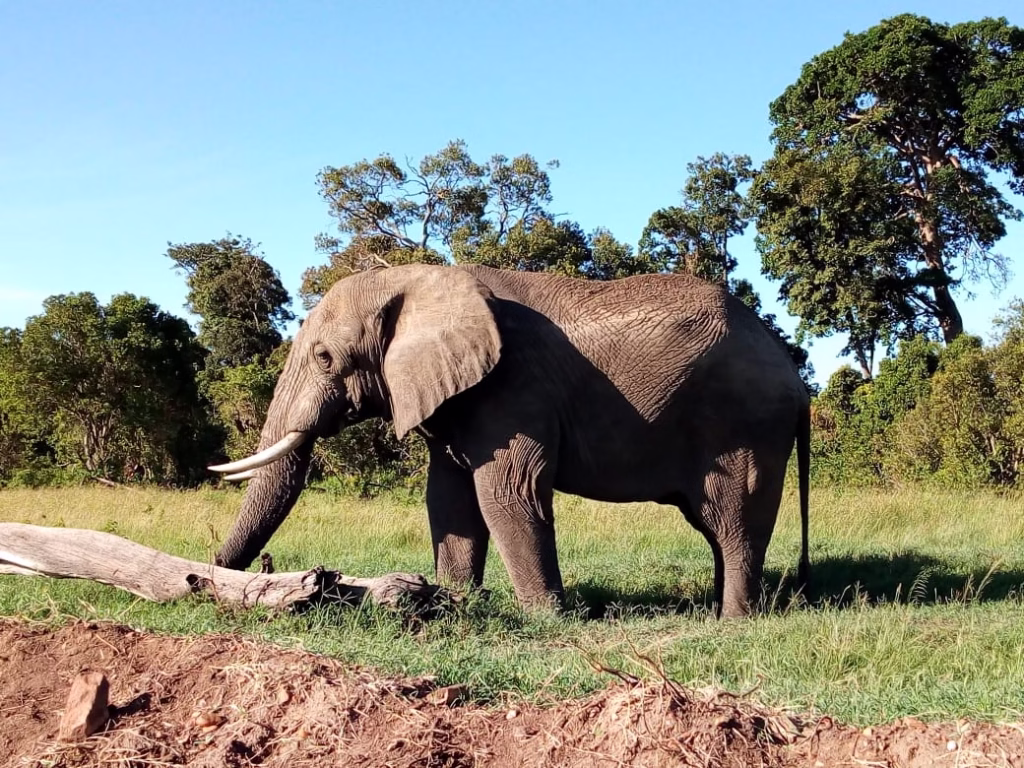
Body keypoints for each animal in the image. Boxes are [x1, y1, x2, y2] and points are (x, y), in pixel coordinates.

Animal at [210, 263, 810, 618]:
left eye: (324, 358)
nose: (207, 577)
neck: (420, 278)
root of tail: (795, 376)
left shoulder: (514, 389)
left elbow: (506, 494)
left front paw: (546, 618)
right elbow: (448, 499)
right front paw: (455, 600)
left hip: (745, 428)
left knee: (734, 520)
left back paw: (732, 621)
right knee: (715, 526)